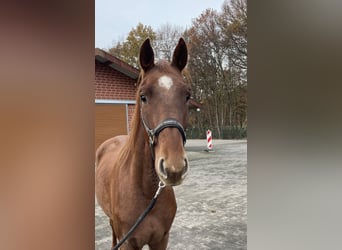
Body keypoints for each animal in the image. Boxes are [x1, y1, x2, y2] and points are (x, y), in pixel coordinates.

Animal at [95, 38, 190, 249]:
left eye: (187, 95)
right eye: (143, 96)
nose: (174, 168)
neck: (146, 193)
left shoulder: (161, 239)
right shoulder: (129, 243)